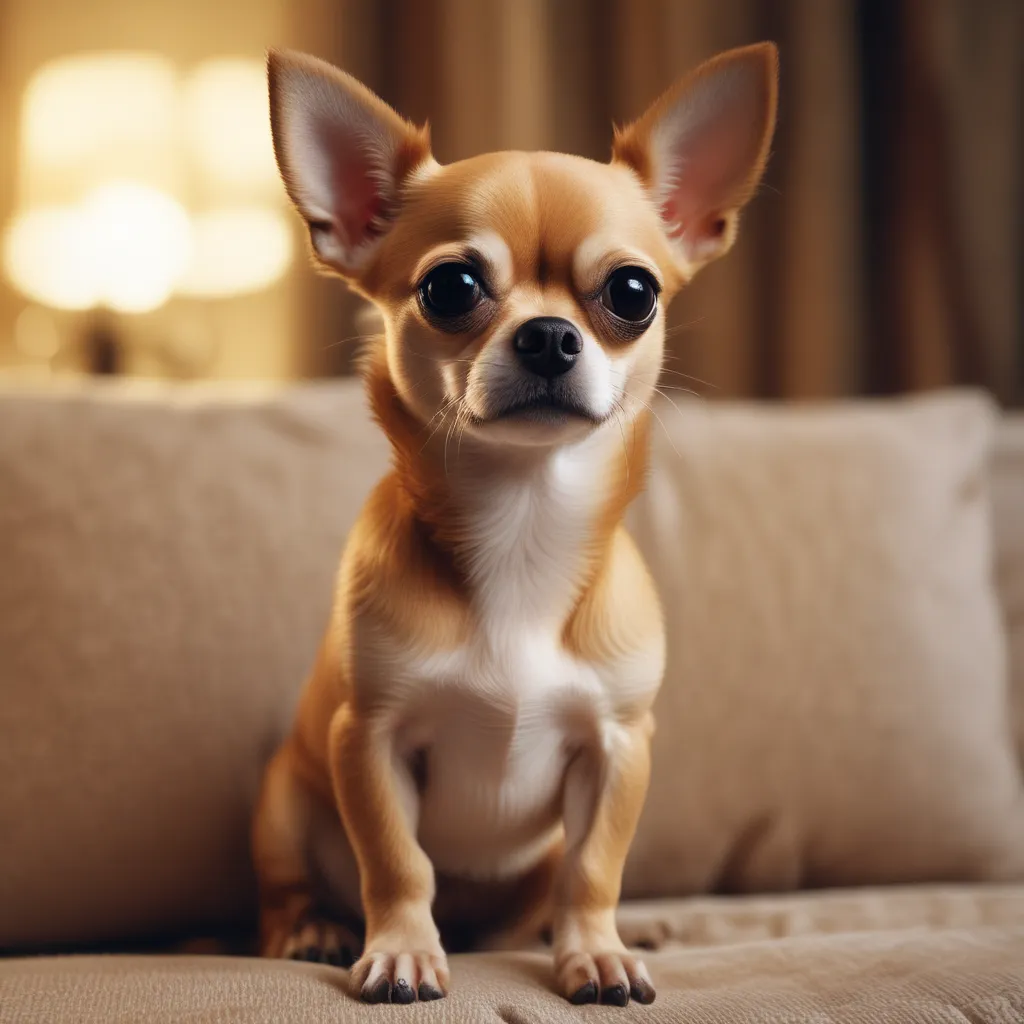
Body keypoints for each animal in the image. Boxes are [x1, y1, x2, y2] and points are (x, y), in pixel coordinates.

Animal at [253, 41, 774, 1007]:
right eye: (449, 287)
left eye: (633, 292)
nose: (548, 336)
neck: (523, 521)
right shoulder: (368, 740)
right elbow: (399, 862)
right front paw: (403, 950)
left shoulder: (617, 746)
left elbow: (593, 869)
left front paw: (594, 952)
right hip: (283, 801)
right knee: (290, 883)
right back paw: (310, 928)